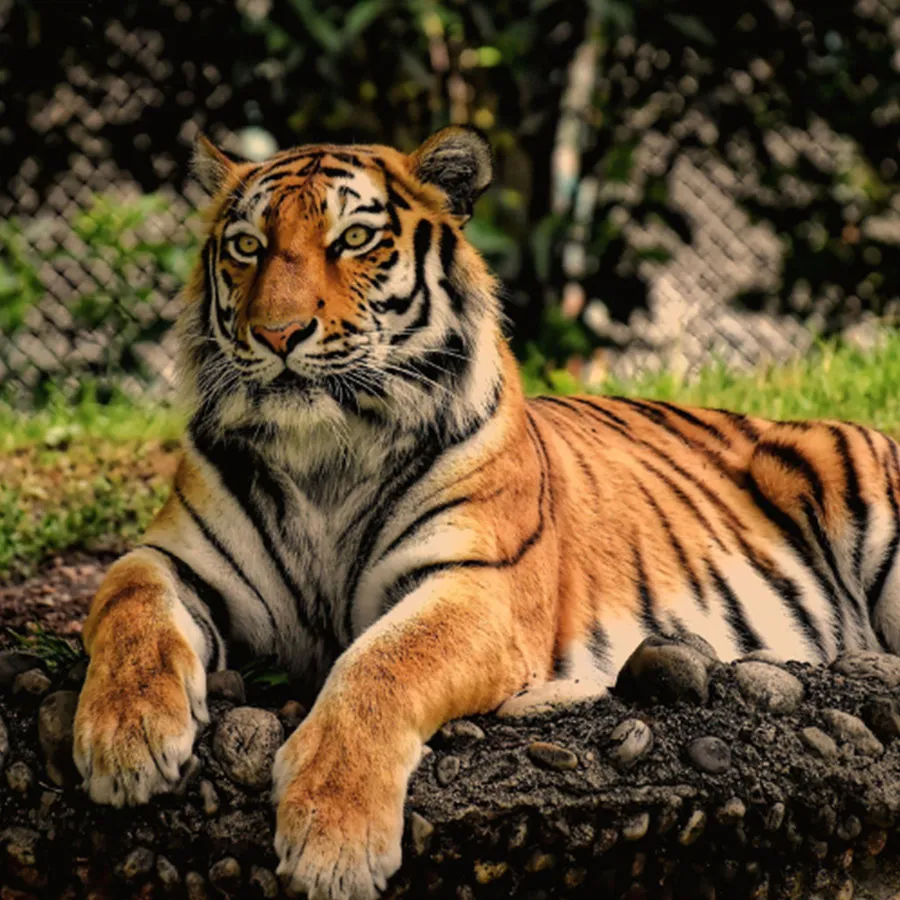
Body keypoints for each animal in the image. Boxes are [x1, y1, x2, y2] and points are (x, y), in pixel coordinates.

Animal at [72, 125, 900, 900]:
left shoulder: (477, 583)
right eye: (247, 247)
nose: (277, 334)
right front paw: (126, 740)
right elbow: (126, 601)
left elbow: (379, 665)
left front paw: (332, 837)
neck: (324, 456)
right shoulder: (175, 556)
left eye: (354, 240)